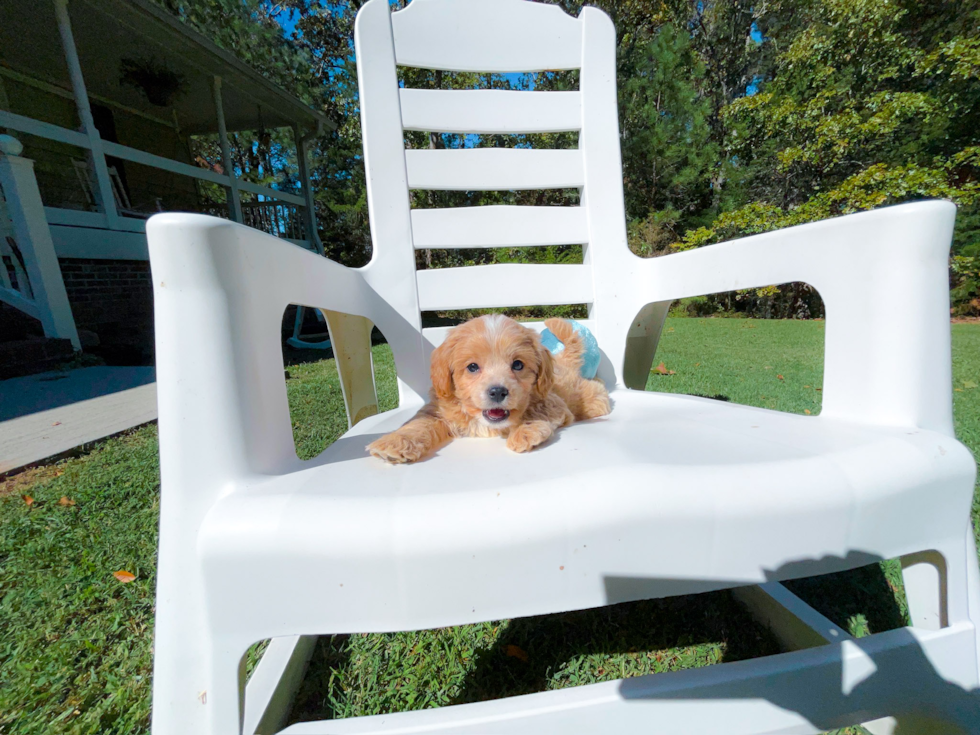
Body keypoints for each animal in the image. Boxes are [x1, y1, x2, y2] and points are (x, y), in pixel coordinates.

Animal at [368, 316, 608, 466]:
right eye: (473, 367)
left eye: (518, 365)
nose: (498, 392)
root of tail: (562, 359)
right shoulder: (437, 410)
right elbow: (418, 424)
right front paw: (394, 443)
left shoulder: (553, 403)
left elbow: (537, 412)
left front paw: (525, 432)